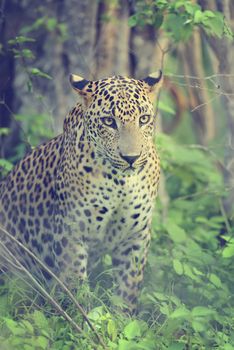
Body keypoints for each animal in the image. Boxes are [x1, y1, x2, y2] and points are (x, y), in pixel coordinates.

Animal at [0, 70, 163, 312]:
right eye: (109, 121)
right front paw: (81, 319)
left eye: (143, 119)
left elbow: (127, 289)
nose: (131, 158)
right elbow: (74, 285)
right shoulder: (71, 232)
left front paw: (122, 317)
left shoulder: (136, 236)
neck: (120, 182)